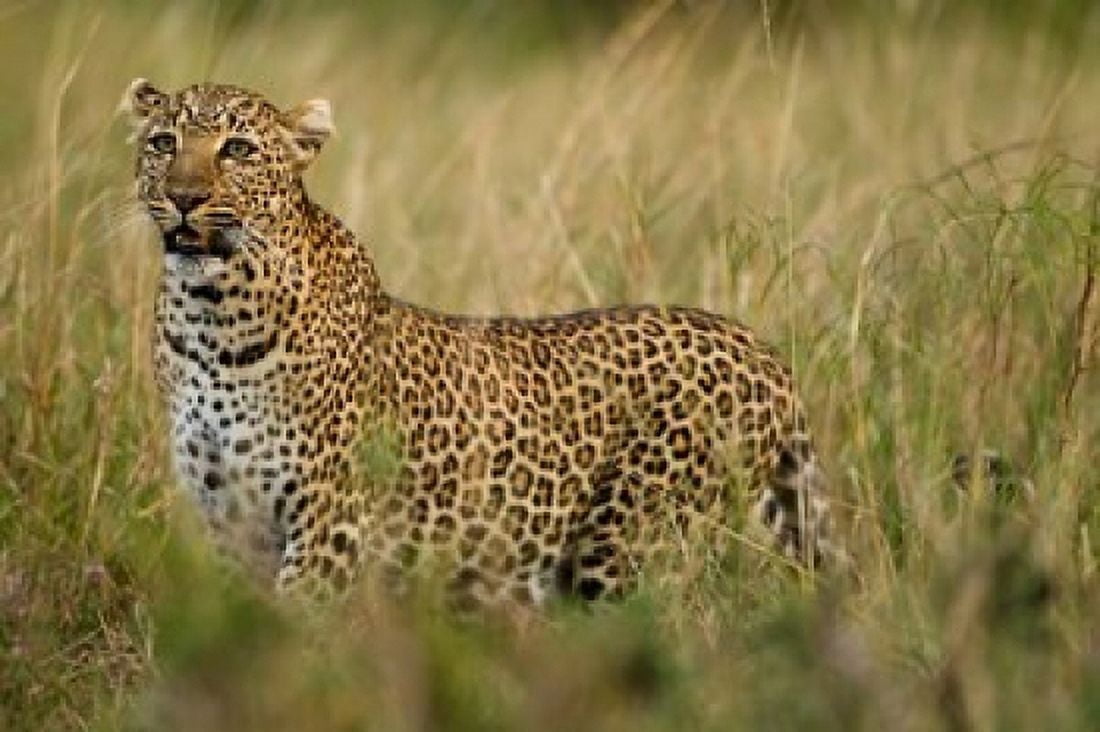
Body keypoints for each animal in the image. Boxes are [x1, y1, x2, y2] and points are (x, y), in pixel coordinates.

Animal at [122, 79, 843, 607]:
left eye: (238, 150)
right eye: (163, 142)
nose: (183, 197)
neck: (212, 322)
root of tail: (763, 350)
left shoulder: (329, 526)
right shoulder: (229, 525)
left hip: (629, 543)